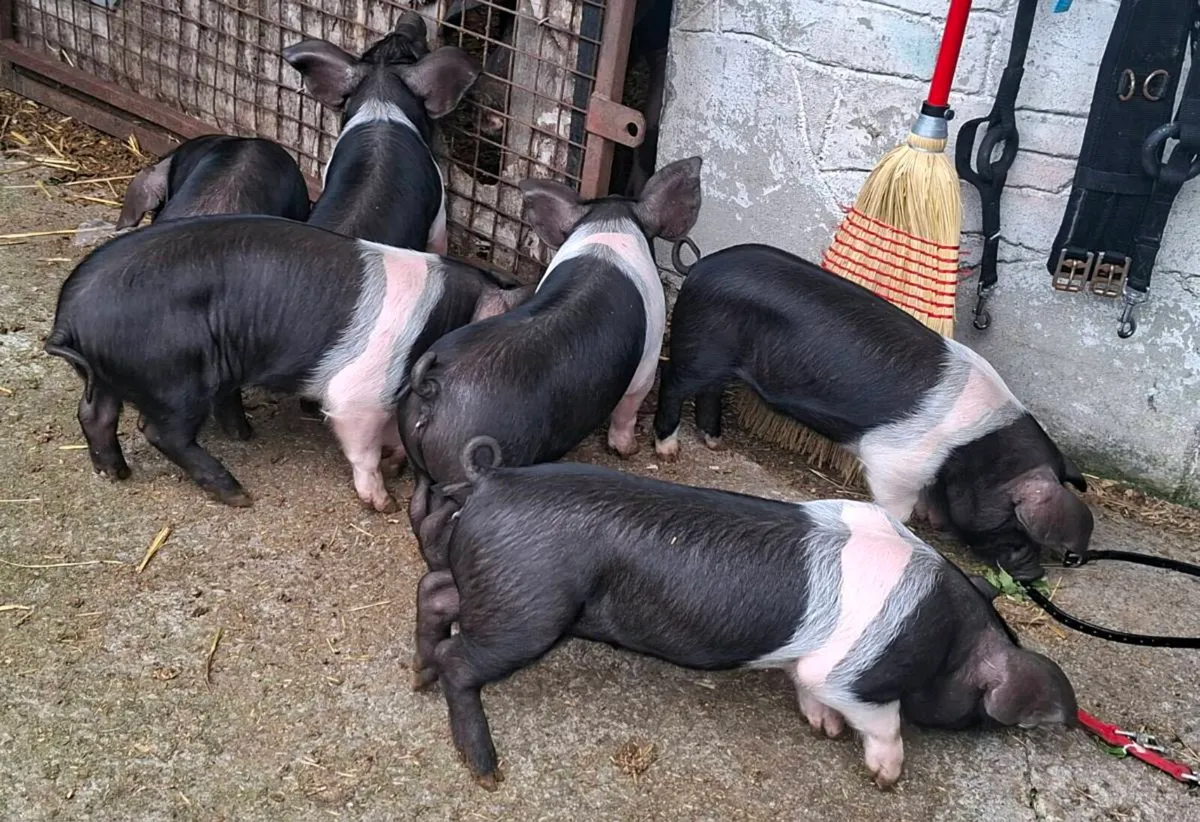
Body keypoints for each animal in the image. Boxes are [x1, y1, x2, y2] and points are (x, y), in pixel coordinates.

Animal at [43, 215, 531, 512]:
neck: (443, 316)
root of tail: (69, 316)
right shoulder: (360, 393)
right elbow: (362, 445)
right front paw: (383, 501)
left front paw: (396, 463)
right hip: (174, 376)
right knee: (161, 431)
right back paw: (238, 494)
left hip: (110, 375)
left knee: (94, 413)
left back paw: (116, 473)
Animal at [399, 156, 702, 546]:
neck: (609, 225)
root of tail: (430, 388)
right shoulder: (647, 364)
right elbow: (628, 407)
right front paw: (627, 450)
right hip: (466, 465)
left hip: (417, 451)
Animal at [410, 436, 1078, 791]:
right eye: (978, 709)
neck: (948, 639)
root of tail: (490, 482)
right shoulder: (850, 674)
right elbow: (880, 719)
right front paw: (886, 777)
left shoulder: (812, 669)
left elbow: (808, 690)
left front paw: (822, 728)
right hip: (530, 608)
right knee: (460, 659)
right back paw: (484, 768)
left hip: (496, 587)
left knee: (435, 592)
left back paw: (417, 677)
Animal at [652, 243, 1094, 582]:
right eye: (1016, 523)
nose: (1035, 574)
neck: (971, 453)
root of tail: (698, 268)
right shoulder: (897, 464)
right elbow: (897, 507)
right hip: (699, 349)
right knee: (673, 385)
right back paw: (668, 450)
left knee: (709, 392)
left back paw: (714, 443)